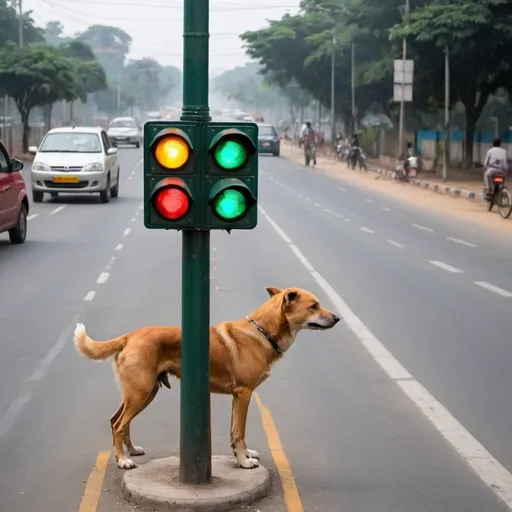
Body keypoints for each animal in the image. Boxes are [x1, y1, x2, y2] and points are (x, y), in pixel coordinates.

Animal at [73, 286, 340, 470]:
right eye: (314, 306)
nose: (337, 318)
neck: (262, 332)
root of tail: (130, 335)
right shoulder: (244, 394)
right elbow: (240, 431)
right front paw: (244, 463)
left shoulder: (237, 397)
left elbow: (234, 431)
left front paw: (242, 456)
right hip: (140, 392)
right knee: (119, 424)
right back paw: (122, 461)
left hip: (145, 393)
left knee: (117, 421)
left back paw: (130, 451)